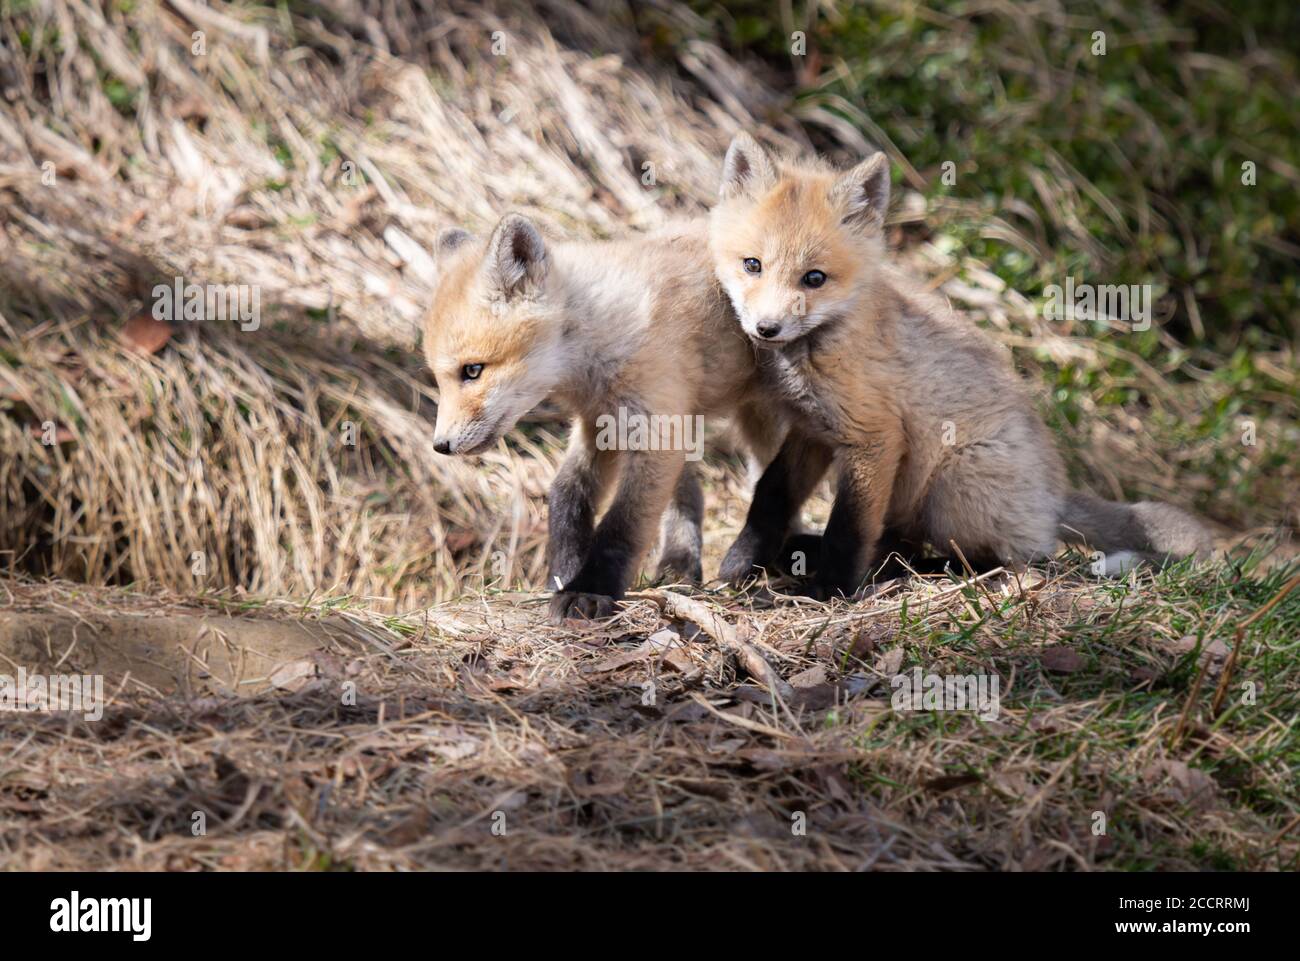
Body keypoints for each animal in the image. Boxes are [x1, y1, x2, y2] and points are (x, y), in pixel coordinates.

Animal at [423, 213, 794, 622]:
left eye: (473, 370)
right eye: (439, 377)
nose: (441, 446)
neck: (602, 332)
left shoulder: (652, 425)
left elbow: (624, 523)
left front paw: (589, 590)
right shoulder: (598, 422)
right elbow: (568, 492)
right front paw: (564, 572)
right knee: (697, 492)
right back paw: (681, 567)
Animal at [708, 132, 1215, 596]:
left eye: (814, 278)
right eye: (752, 265)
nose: (766, 328)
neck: (819, 345)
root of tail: (1051, 498)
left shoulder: (874, 437)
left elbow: (848, 530)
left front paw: (830, 592)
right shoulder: (810, 429)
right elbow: (769, 496)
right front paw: (739, 565)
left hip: (951, 484)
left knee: (1001, 559)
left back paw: (914, 571)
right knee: (906, 543)